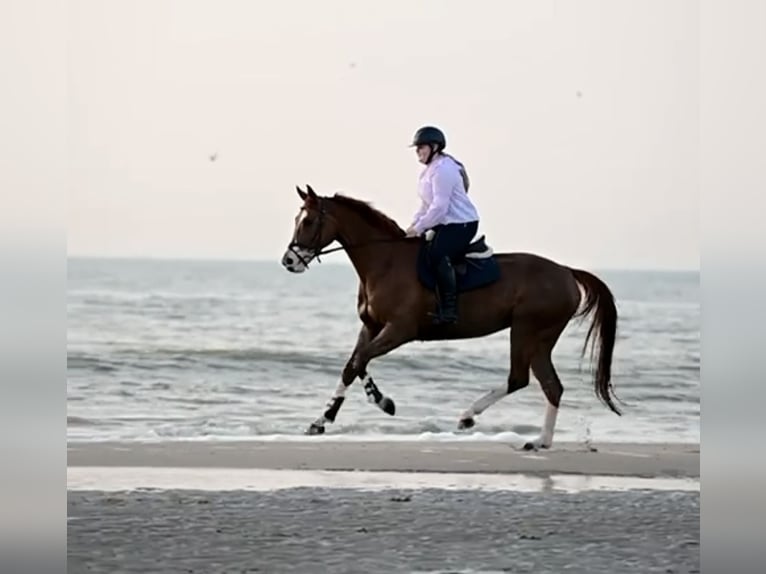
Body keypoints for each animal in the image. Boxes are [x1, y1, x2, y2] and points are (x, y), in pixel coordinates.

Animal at [280, 184, 621, 450]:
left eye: (308, 221)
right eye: (297, 219)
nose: (289, 261)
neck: (385, 262)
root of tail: (567, 272)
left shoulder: (399, 330)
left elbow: (362, 359)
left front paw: (382, 401)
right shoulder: (371, 326)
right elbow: (352, 366)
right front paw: (321, 420)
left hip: (528, 331)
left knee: (526, 379)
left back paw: (482, 420)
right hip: (537, 338)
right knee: (547, 385)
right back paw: (534, 439)